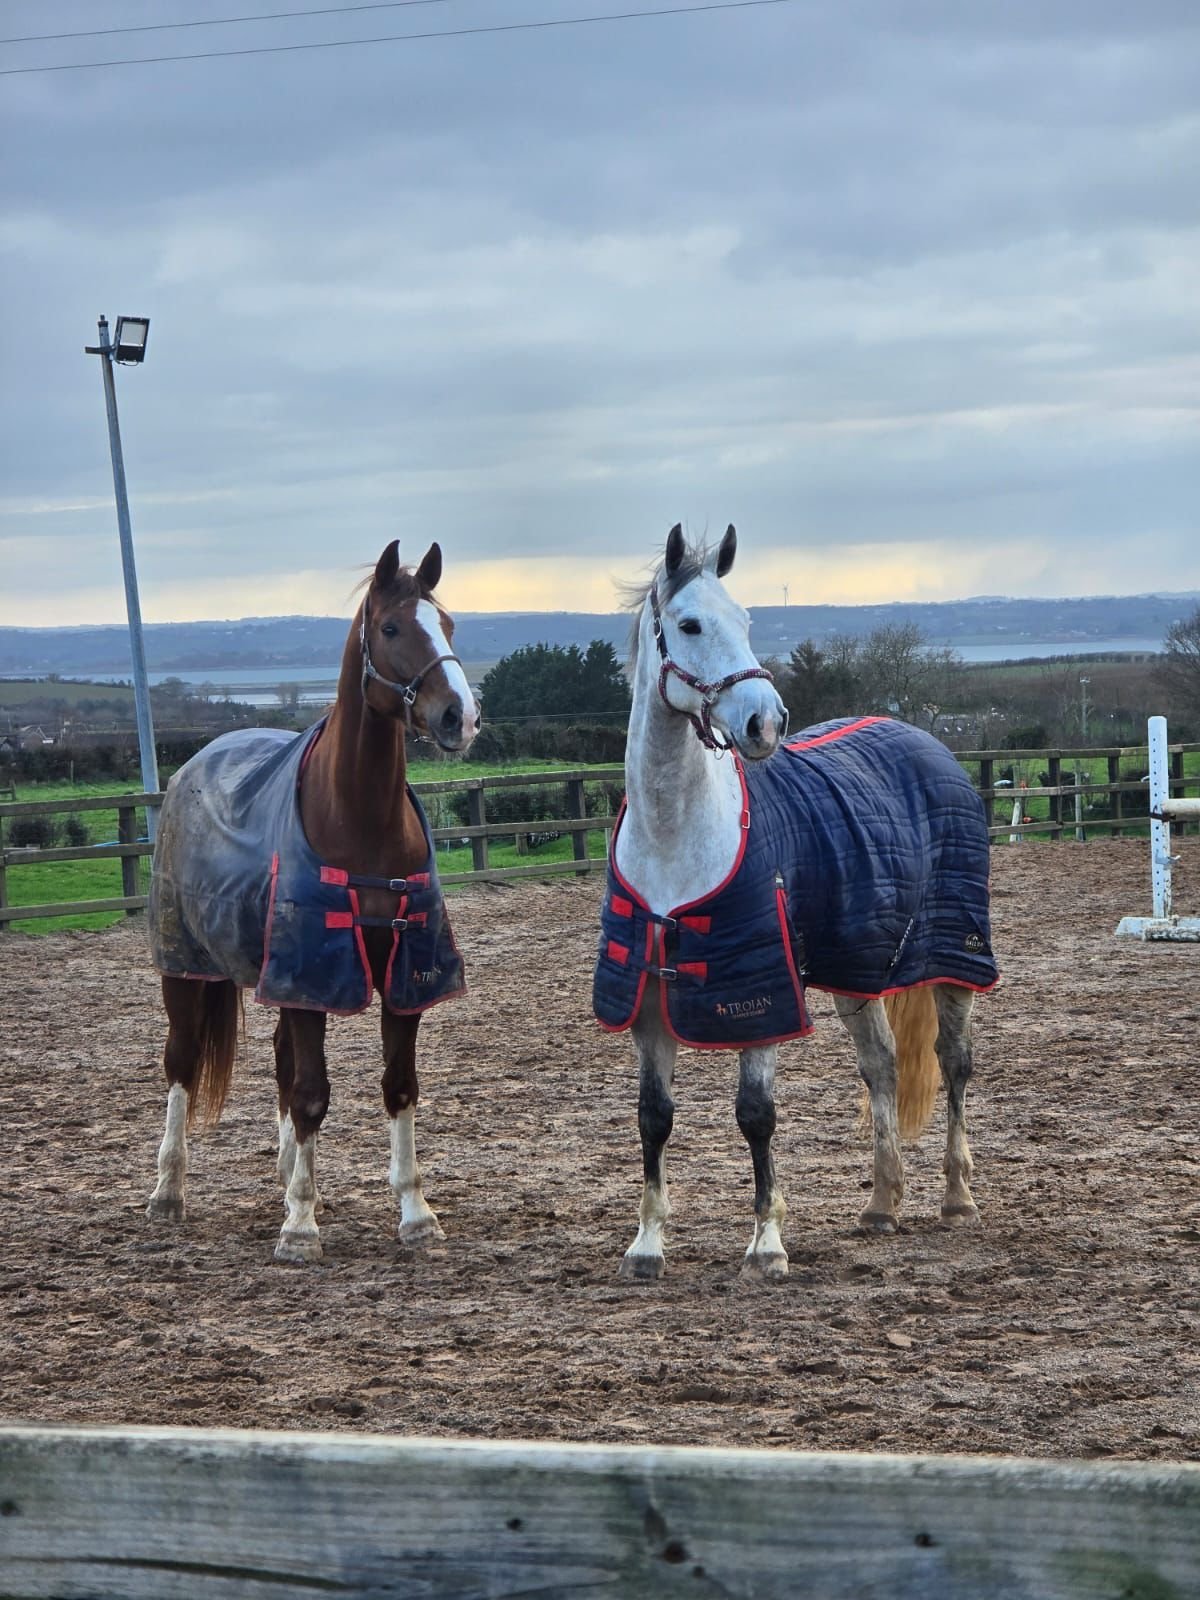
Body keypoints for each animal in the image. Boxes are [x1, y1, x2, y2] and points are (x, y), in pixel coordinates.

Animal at [145, 540, 479, 1263]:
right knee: (182, 1062)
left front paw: (414, 1213)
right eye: (392, 628)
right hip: (186, 969)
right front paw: (299, 1228)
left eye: (449, 625)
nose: (459, 717)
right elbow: (311, 1094)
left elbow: (396, 1086)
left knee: (276, 1060)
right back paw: (169, 1192)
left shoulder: (398, 975)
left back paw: (290, 1177)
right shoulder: (311, 977)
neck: (361, 818)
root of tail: (193, 766)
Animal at [594, 524, 997, 1280]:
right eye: (689, 625)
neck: (674, 840)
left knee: (954, 1063)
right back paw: (881, 1205)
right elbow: (652, 1116)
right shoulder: (649, 1004)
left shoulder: (762, 1001)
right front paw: (647, 1245)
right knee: (882, 1068)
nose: (766, 722)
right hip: (857, 970)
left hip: (956, 958)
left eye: (748, 620)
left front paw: (767, 1244)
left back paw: (957, 1196)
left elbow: (756, 1115)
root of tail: (927, 741)